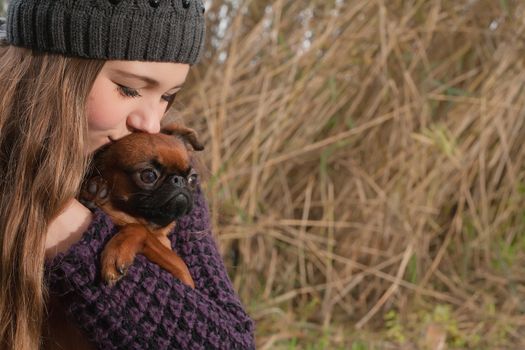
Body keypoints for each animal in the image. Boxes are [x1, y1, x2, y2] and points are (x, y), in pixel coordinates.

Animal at [79, 123, 204, 288]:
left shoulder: (184, 276)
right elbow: (141, 229)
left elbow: (139, 229)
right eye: (148, 175)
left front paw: (118, 248)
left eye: (193, 178)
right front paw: (94, 191)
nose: (179, 180)